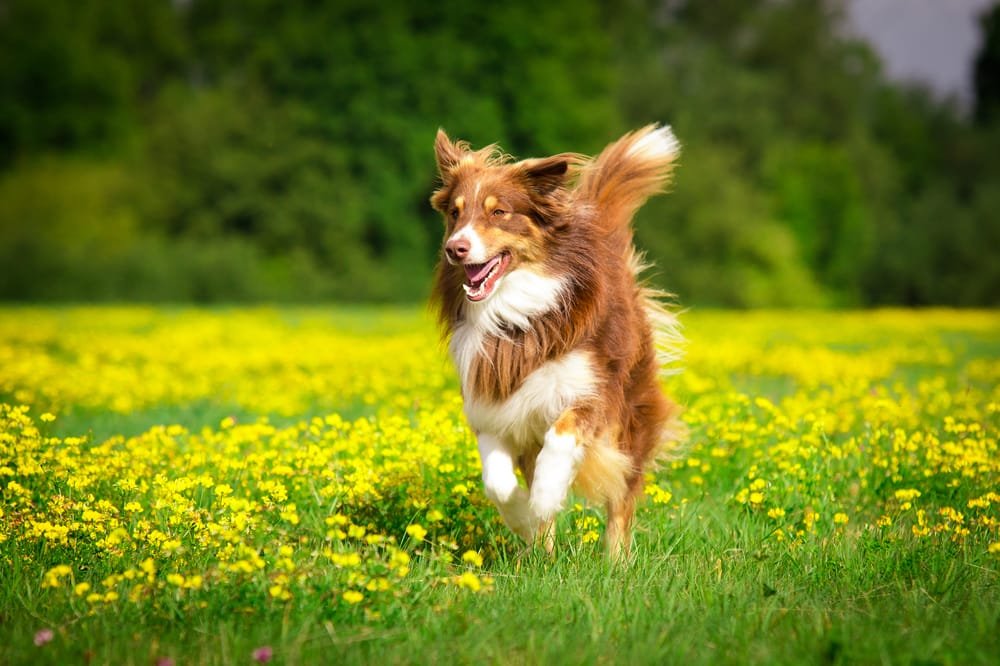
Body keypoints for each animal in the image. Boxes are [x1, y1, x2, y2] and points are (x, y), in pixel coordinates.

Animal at [426, 124, 684, 556]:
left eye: (499, 212)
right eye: (455, 213)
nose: (455, 248)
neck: (515, 316)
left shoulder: (590, 392)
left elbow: (560, 441)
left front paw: (546, 497)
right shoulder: (490, 405)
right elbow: (497, 483)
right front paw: (524, 517)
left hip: (631, 413)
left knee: (622, 494)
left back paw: (616, 562)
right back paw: (541, 554)